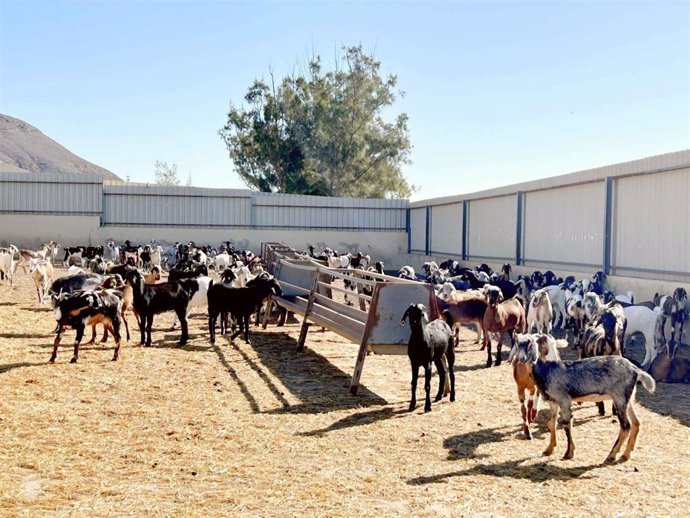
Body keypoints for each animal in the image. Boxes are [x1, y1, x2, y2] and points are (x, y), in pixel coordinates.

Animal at [512, 336, 652, 466]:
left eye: (530, 344)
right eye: (517, 343)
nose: (522, 359)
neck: (546, 370)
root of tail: (635, 370)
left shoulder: (564, 399)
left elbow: (566, 424)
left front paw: (569, 453)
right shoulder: (554, 402)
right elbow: (551, 423)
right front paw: (549, 449)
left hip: (620, 397)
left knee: (626, 426)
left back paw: (611, 455)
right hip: (628, 398)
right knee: (636, 422)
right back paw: (625, 455)